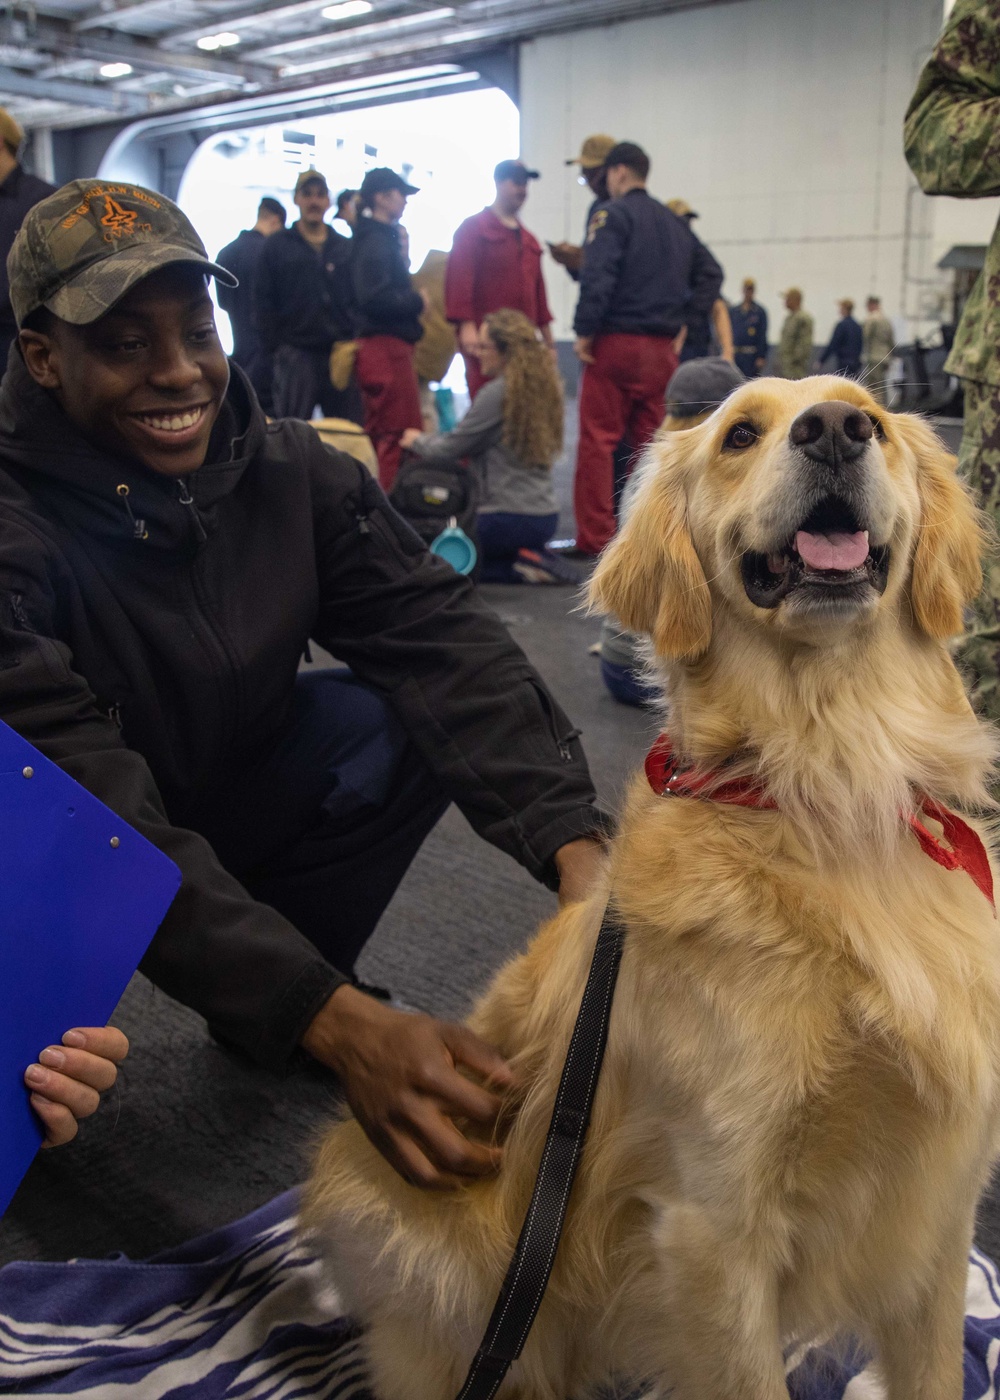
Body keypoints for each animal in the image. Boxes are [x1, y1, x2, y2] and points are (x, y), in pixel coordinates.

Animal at [302, 378, 997, 1400]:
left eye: (868, 412)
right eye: (739, 434)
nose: (836, 431)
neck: (827, 781)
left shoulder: (939, 1201)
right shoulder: (712, 1223)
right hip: (432, 1254)